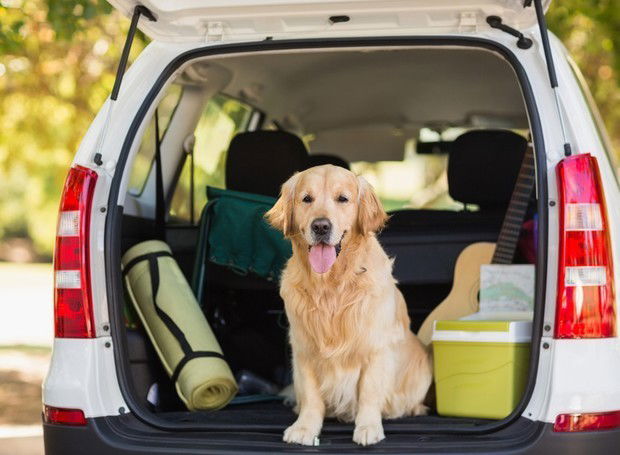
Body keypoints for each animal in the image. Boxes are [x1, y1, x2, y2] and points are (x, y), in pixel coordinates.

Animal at [266, 164, 432, 446]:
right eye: (306, 199)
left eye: (342, 199)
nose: (321, 226)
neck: (331, 285)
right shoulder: (303, 348)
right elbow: (311, 395)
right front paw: (305, 428)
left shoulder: (375, 348)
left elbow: (369, 392)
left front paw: (368, 427)